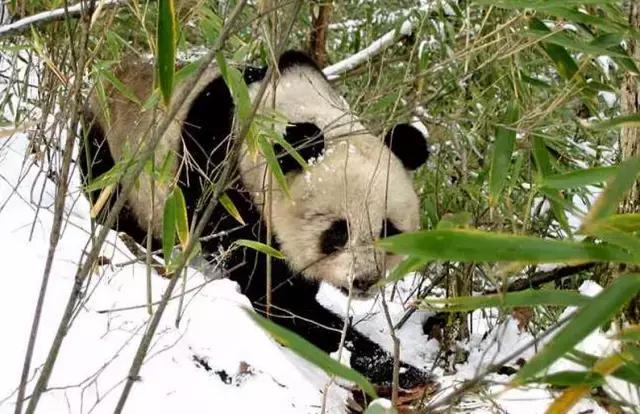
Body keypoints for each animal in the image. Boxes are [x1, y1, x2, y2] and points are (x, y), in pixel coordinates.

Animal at [79, 50, 430, 390]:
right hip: (112, 147)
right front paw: (394, 369)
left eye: (388, 229)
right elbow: (276, 300)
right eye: (338, 232)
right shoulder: (218, 178)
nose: (365, 280)